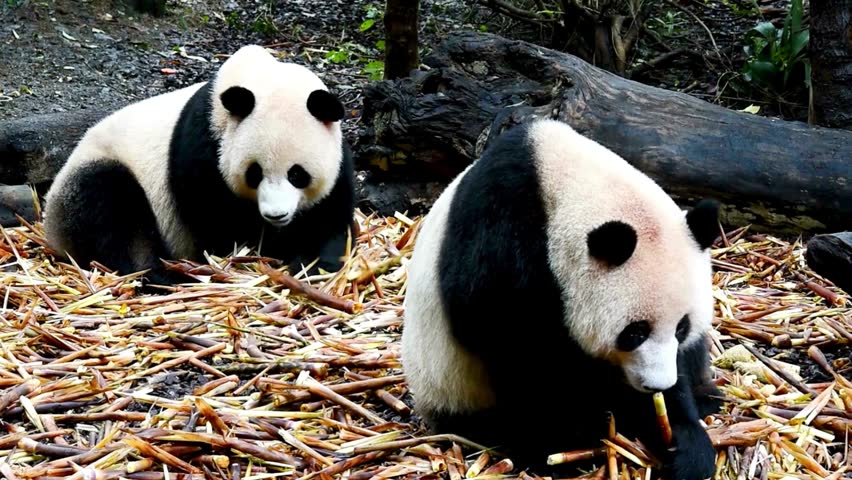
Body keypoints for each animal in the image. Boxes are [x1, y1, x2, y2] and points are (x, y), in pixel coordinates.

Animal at [43, 45, 355, 287]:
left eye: (297, 174)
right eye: (254, 173)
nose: (275, 215)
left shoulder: (338, 156)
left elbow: (330, 217)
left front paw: (310, 263)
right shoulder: (205, 148)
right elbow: (218, 221)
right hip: (94, 174)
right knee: (112, 214)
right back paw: (167, 277)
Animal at [401, 118, 723, 480]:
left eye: (681, 327)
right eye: (634, 332)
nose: (657, 384)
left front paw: (683, 441)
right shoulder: (500, 236)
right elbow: (518, 345)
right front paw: (571, 438)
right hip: (451, 383)